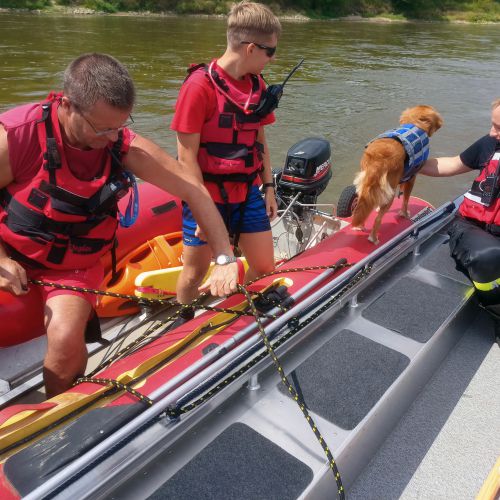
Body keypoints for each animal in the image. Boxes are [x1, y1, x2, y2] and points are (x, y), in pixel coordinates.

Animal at [352, 105, 442, 244]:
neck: (415, 124)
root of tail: (379, 157)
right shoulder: (411, 178)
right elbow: (406, 199)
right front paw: (404, 214)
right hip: (391, 193)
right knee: (378, 219)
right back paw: (373, 238)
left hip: (365, 185)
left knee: (363, 207)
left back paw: (359, 226)